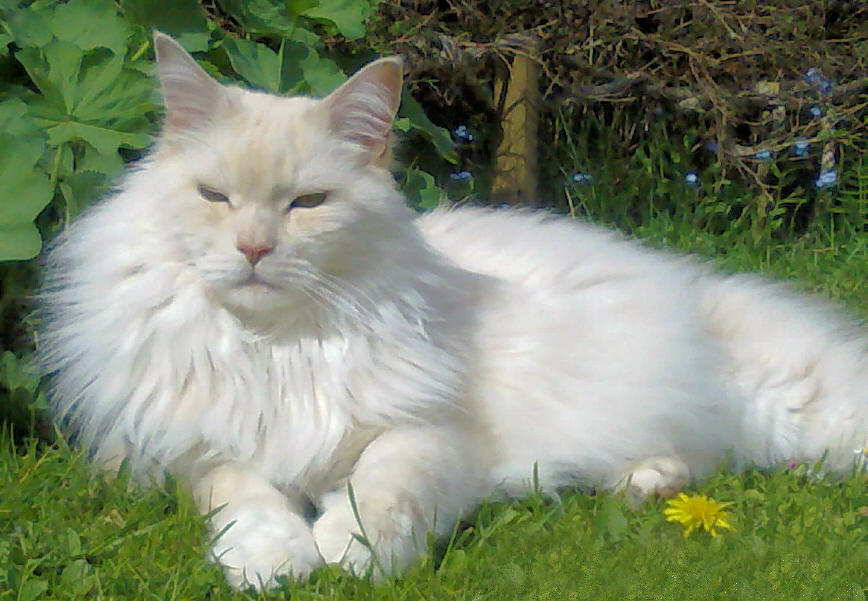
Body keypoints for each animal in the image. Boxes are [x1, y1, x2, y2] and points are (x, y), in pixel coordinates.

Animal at [40, 31, 868, 584]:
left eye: (307, 203)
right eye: (214, 196)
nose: (252, 249)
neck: (278, 348)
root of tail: (693, 283)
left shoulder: (430, 430)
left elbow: (383, 488)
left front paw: (347, 552)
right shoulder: (184, 446)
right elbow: (240, 492)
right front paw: (273, 557)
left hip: (795, 409)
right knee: (691, 458)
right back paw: (644, 485)